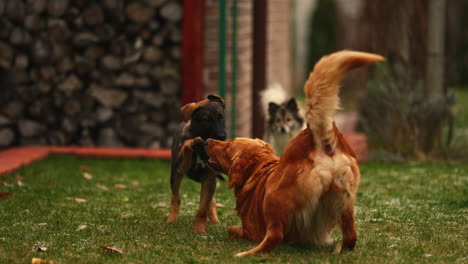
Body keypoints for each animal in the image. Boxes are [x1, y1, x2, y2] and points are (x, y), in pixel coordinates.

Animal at [167, 94, 228, 232]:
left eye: (221, 117)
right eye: (206, 120)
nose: (222, 136)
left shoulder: (209, 179)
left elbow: (203, 208)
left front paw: (199, 230)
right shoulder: (181, 167)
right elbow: (187, 144)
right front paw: (192, 142)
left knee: (212, 202)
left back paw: (215, 221)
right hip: (175, 175)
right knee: (175, 198)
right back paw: (171, 220)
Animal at [197, 50, 384, 256]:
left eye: (228, 145)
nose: (207, 140)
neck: (258, 172)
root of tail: (316, 135)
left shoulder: (251, 228)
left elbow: (233, 229)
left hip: (274, 200)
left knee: (274, 236)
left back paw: (248, 253)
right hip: (346, 203)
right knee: (351, 236)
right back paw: (339, 248)